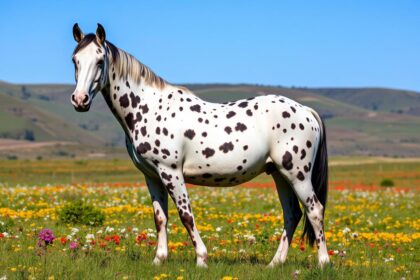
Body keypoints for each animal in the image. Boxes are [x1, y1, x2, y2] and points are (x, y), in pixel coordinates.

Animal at [69, 23, 332, 266]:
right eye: (75, 60)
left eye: (100, 61)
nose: (80, 100)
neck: (149, 107)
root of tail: (306, 111)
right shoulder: (152, 176)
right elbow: (160, 218)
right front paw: (159, 260)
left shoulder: (171, 172)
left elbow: (186, 215)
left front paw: (201, 259)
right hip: (279, 174)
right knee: (292, 214)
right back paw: (275, 263)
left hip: (297, 174)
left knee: (314, 211)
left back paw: (323, 262)